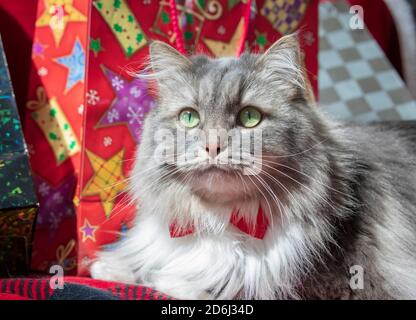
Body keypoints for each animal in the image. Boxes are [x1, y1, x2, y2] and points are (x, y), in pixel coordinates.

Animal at [90, 33, 416, 298]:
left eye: (249, 117)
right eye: (189, 118)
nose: (213, 146)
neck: (221, 220)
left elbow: (220, 285)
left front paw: (163, 280)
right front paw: (112, 268)